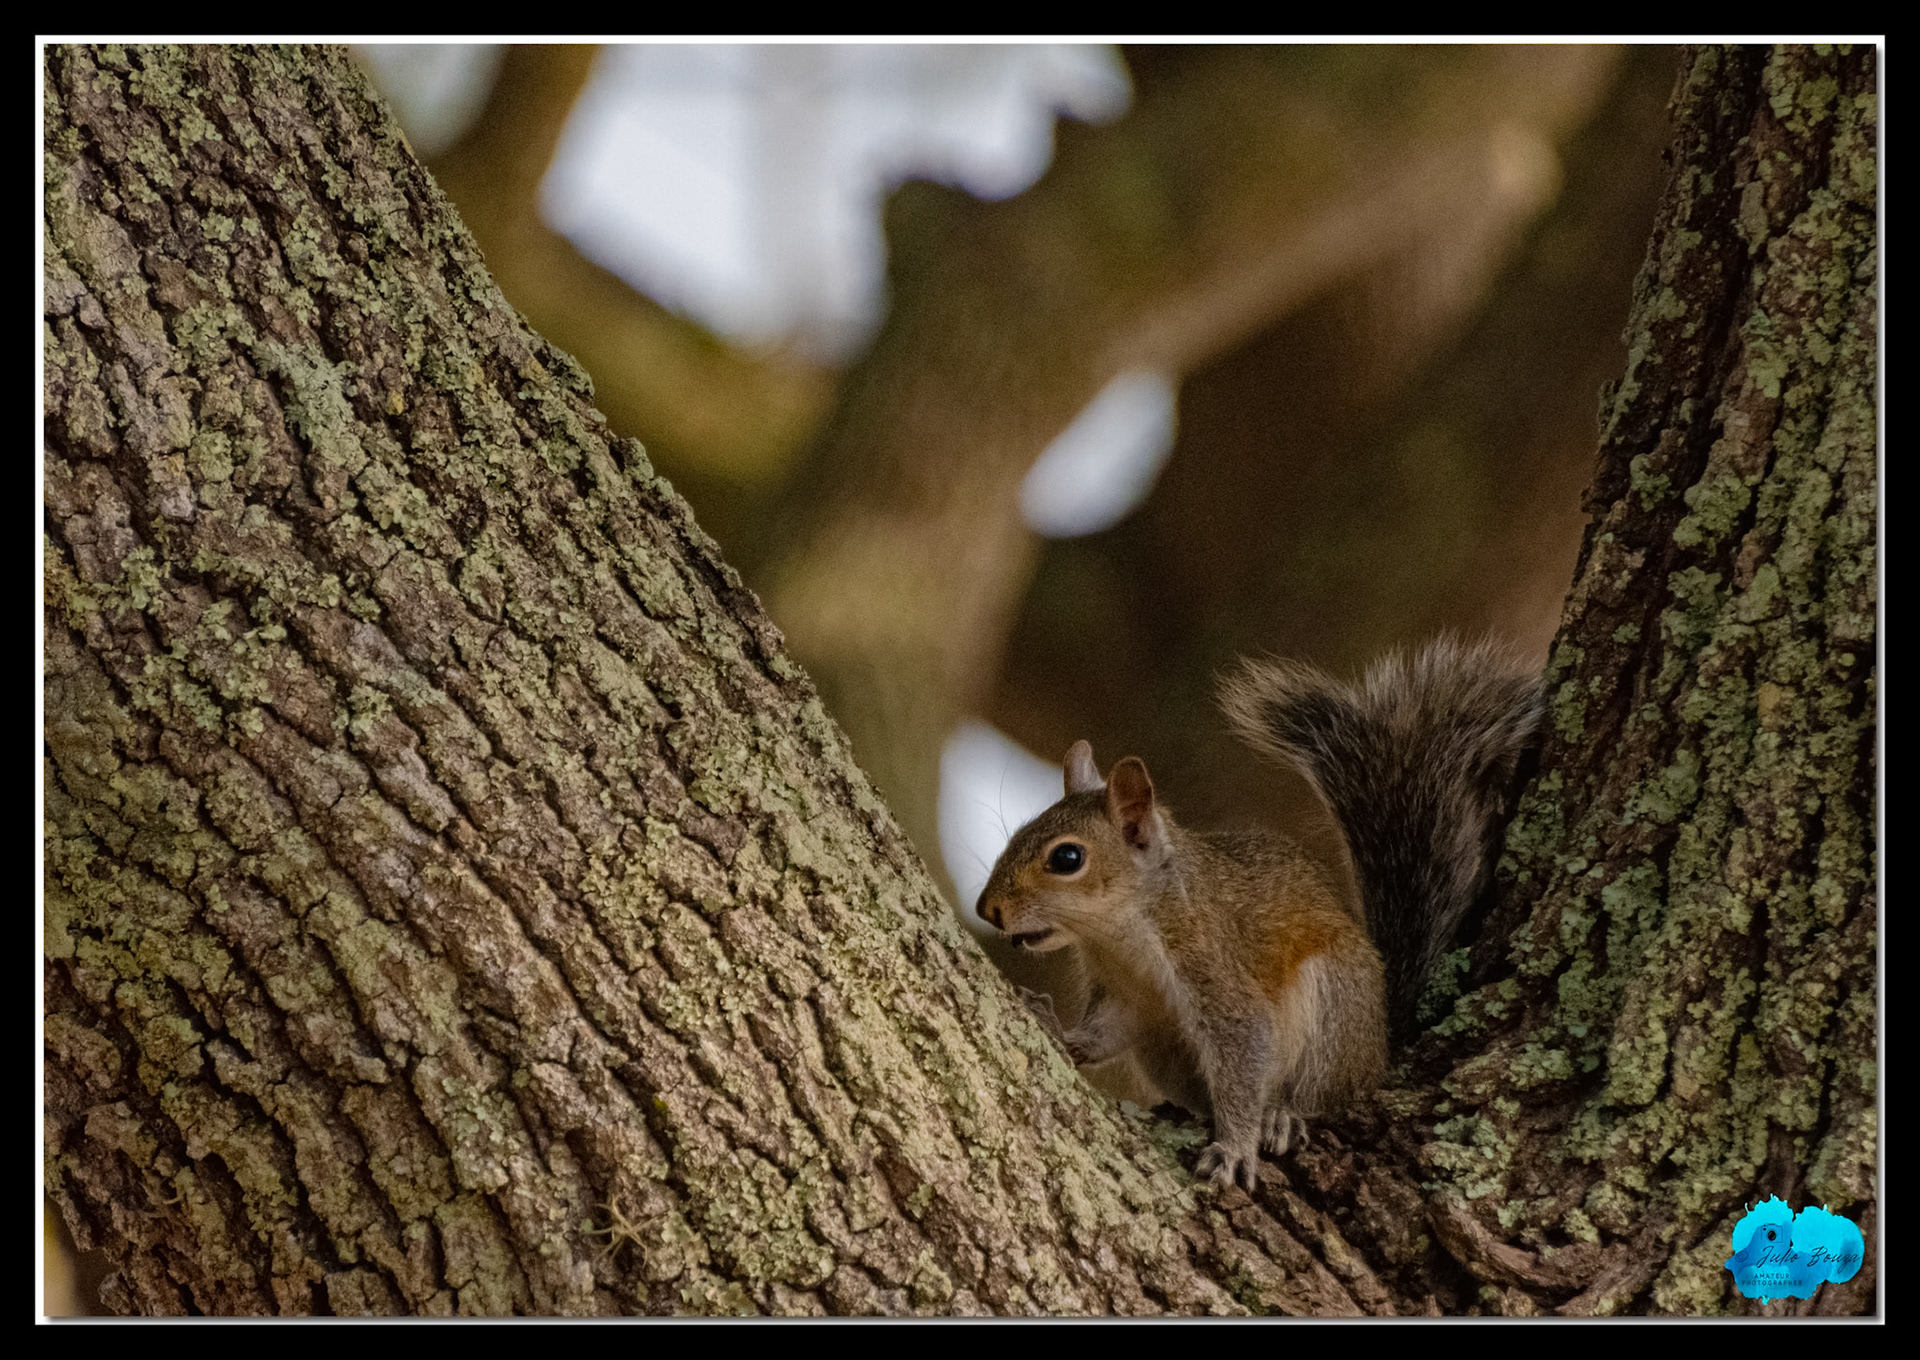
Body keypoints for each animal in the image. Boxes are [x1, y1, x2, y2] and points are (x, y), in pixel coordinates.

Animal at [976, 637, 1543, 1191]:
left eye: (1067, 858)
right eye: (1022, 830)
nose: (988, 909)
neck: (1119, 934)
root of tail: (1379, 1051)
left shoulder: (1215, 967)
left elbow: (1242, 1054)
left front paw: (1234, 1147)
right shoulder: (1127, 996)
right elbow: (1105, 1034)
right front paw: (1059, 1029)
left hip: (1334, 1005)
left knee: (1322, 1097)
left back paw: (1282, 1116)